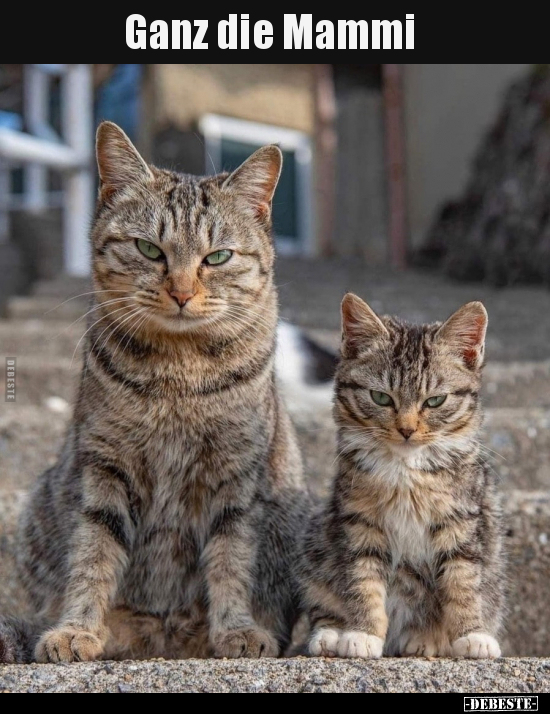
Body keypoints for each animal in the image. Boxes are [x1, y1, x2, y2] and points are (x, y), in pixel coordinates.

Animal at [0, 121, 308, 660]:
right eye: (149, 250)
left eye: (217, 257)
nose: (181, 292)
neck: (176, 375)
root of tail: (163, 636)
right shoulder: (105, 465)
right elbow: (94, 551)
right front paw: (76, 628)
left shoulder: (236, 476)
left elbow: (232, 558)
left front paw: (237, 629)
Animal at [304, 294, 506, 656]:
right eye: (381, 397)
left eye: (435, 400)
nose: (407, 430)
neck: (406, 470)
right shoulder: (359, 521)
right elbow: (363, 580)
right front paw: (363, 633)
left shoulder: (462, 519)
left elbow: (464, 581)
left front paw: (473, 634)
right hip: (318, 540)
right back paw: (330, 634)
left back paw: (425, 640)